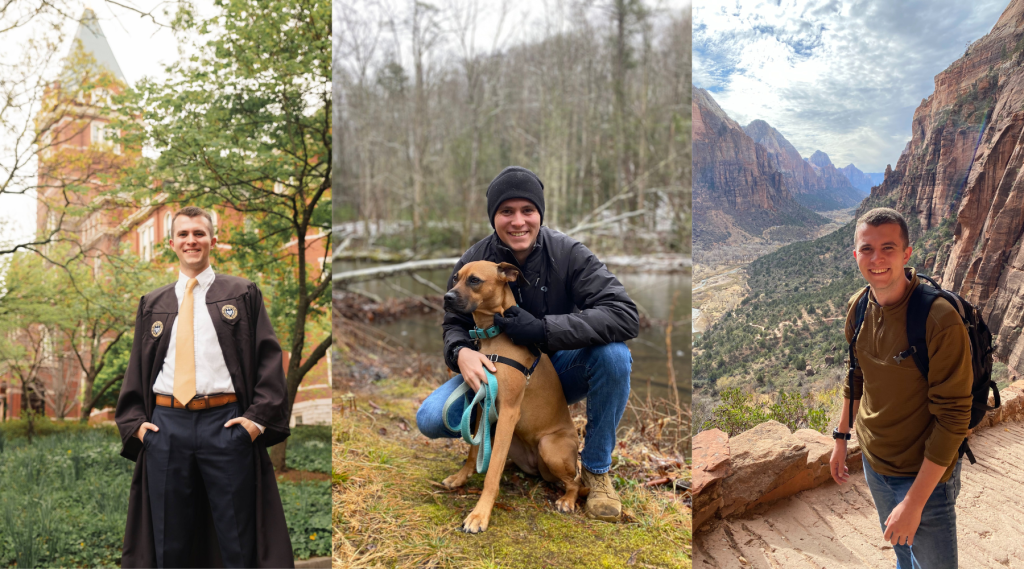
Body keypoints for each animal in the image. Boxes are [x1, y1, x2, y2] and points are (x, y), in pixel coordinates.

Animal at [440, 261, 585, 532]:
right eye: (456, 278)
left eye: (474, 280)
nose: (447, 297)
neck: (494, 335)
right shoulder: (482, 403)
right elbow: (474, 451)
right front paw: (461, 477)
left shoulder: (508, 410)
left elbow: (492, 474)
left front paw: (479, 514)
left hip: (549, 446)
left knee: (575, 481)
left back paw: (567, 500)